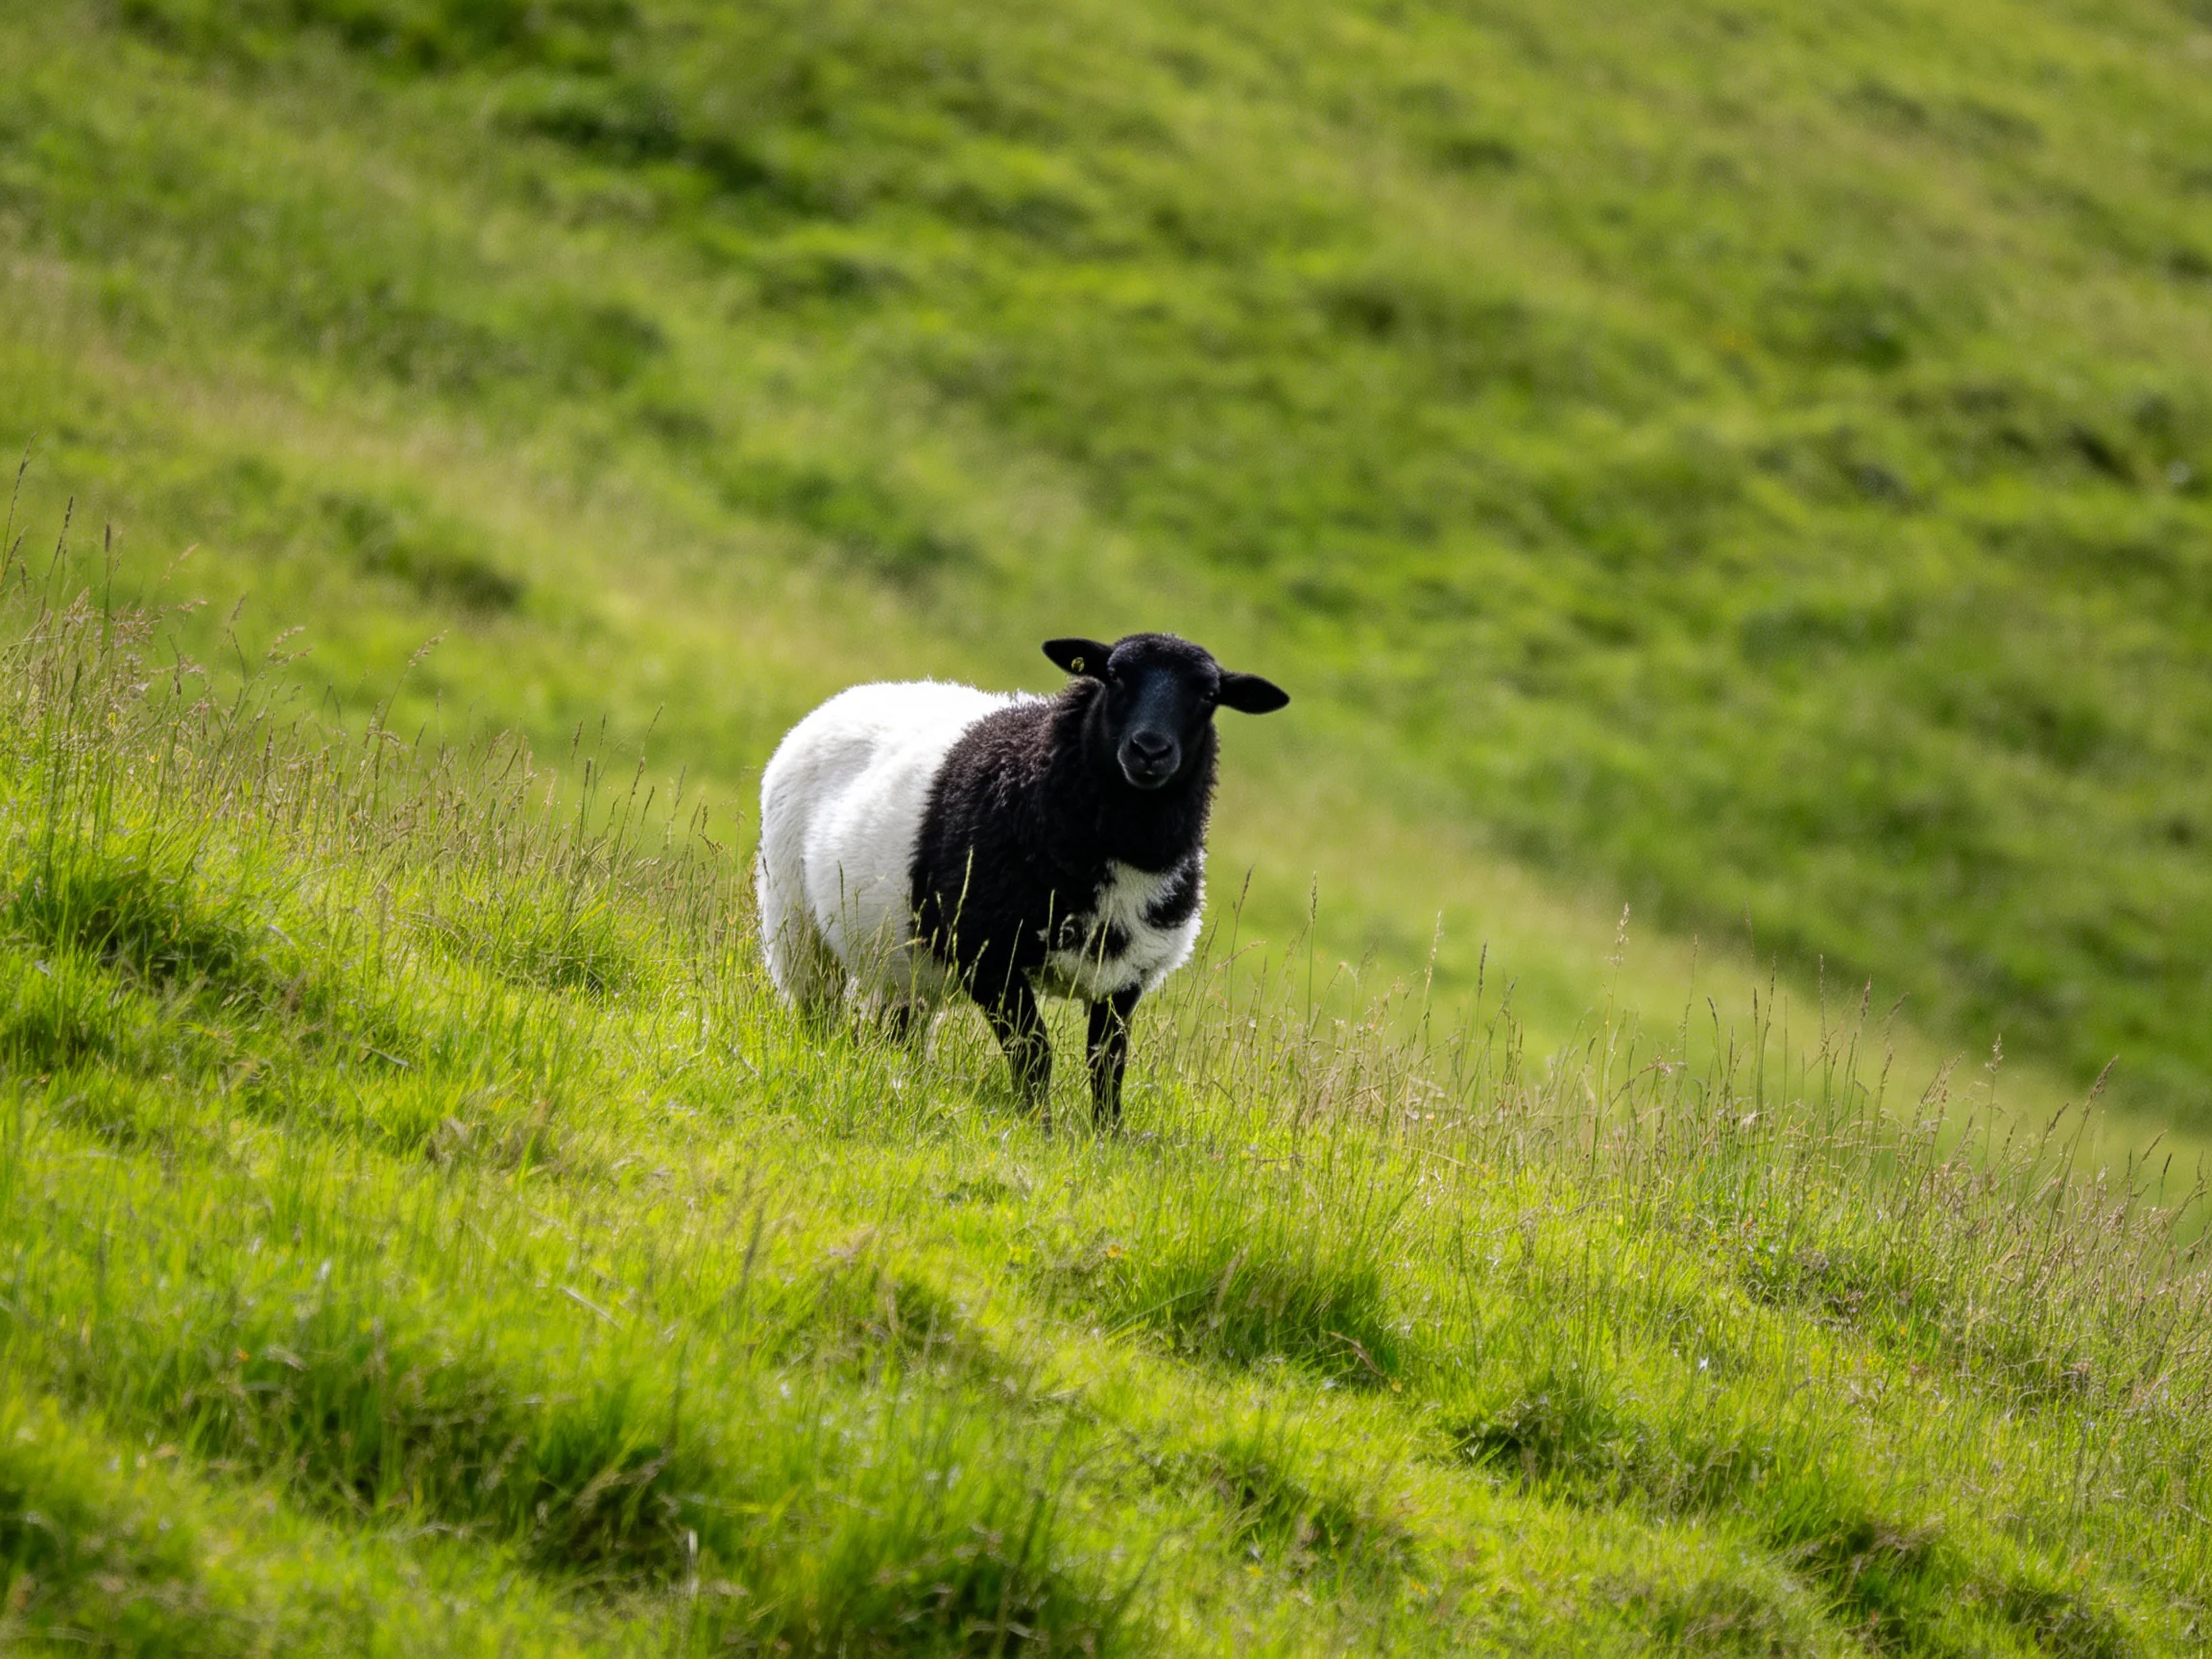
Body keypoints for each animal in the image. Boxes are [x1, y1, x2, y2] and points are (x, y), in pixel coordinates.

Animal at [756, 633, 1289, 1128]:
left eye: (1209, 694)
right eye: (1114, 676)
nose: (1150, 750)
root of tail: (853, 695)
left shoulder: (1128, 977)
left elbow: (1107, 1066)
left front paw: (1108, 1135)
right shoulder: (988, 954)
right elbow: (1034, 1051)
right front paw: (1038, 1125)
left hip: (902, 957)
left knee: (899, 1028)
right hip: (796, 921)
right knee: (817, 1007)